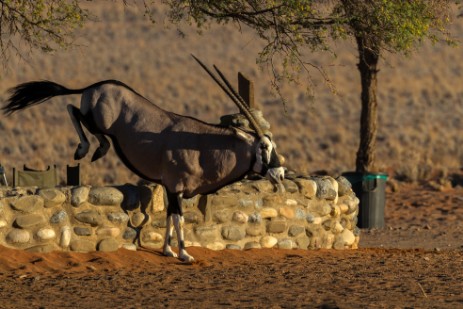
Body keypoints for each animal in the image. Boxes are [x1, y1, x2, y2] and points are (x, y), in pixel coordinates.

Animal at [2, 56, 286, 262]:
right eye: (263, 146)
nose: (280, 173)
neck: (202, 146)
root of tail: (96, 86)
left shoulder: (172, 190)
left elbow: (169, 218)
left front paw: (168, 251)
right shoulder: (175, 187)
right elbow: (179, 218)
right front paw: (184, 254)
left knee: (74, 110)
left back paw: (97, 148)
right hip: (97, 120)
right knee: (73, 110)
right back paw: (89, 148)